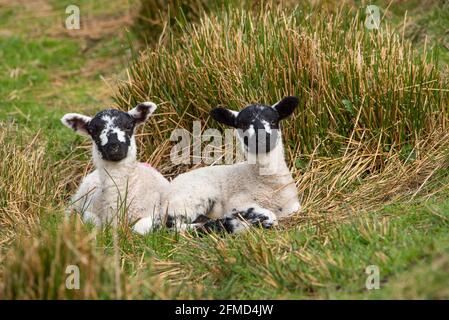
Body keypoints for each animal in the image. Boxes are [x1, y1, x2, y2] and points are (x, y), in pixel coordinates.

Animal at [133, 96, 300, 234]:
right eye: (242, 124)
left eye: (274, 121)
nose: (261, 139)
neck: (269, 185)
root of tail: (167, 190)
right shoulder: (238, 202)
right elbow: (269, 216)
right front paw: (250, 220)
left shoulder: (294, 207)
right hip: (191, 197)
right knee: (172, 226)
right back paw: (227, 225)